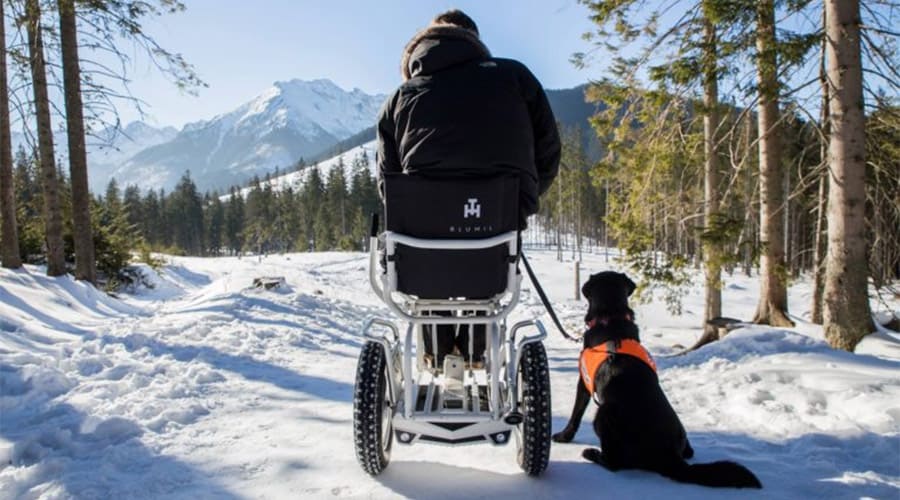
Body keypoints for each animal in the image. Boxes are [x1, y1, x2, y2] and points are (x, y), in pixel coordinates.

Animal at [556, 272, 760, 486]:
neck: (612, 319)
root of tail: (671, 456)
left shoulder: (584, 381)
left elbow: (576, 414)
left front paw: (563, 436)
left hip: (604, 413)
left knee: (614, 463)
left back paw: (591, 453)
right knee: (688, 451)